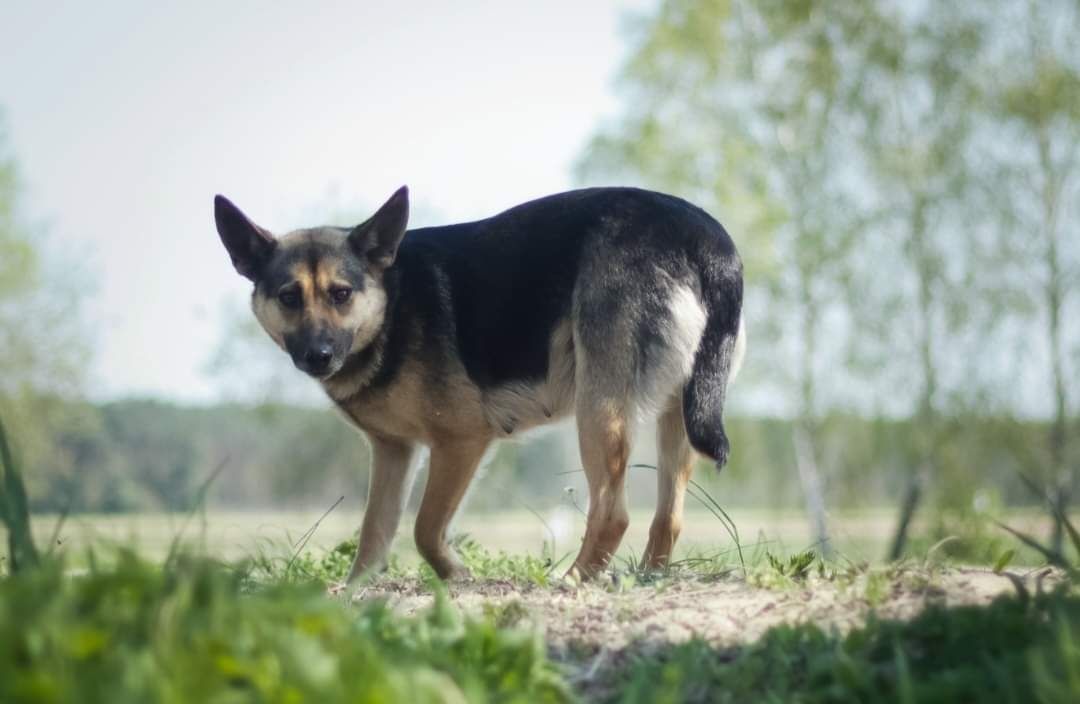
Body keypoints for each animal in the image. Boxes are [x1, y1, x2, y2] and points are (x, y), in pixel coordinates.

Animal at [214, 185, 747, 583]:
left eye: (340, 294)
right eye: (288, 297)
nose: (318, 356)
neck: (392, 305)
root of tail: (705, 237)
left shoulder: (461, 442)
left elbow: (425, 529)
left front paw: (456, 576)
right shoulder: (393, 453)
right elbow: (374, 533)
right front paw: (353, 593)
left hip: (599, 411)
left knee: (613, 513)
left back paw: (571, 581)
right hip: (676, 417)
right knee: (668, 519)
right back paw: (647, 577)